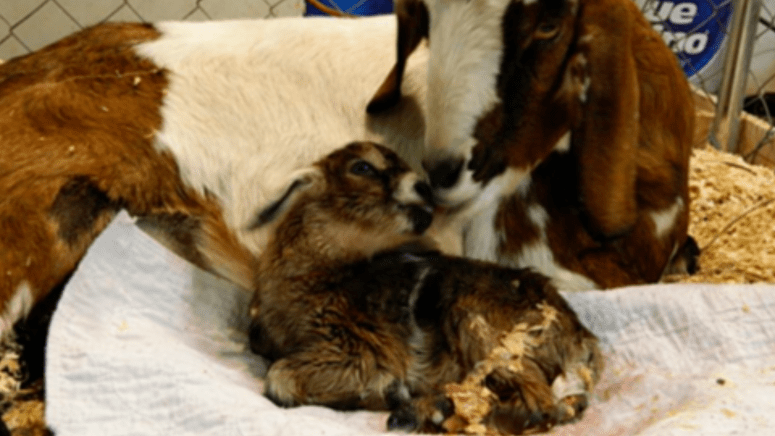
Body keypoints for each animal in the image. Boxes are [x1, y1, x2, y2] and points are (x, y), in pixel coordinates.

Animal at [246, 142, 604, 432]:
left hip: (481, 326)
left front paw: (386, 389)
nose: (424, 186)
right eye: (362, 166)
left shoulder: (358, 347)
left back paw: (422, 410)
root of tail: (584, 344)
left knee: (541, 406)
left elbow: (278, 377)